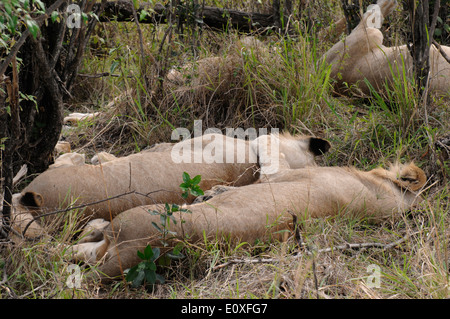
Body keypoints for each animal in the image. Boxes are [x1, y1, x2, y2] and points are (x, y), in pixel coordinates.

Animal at [67, 161, 426, 282]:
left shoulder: (290, 176)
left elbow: (242, 187)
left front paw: (212, 193)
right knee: (75, 252)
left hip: (132, 228)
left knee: (85, 244)